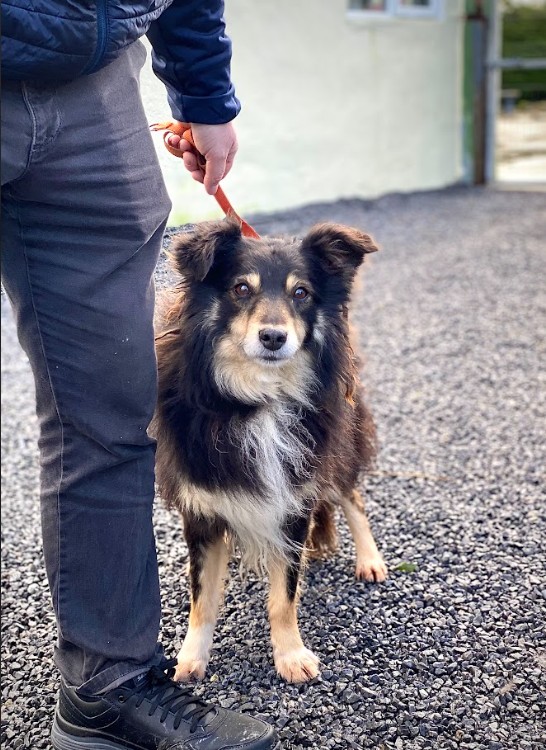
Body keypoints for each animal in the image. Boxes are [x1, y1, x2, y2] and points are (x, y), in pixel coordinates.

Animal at [153, 219, 387, 684]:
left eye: (302, 293)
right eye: (241, 288)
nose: (274, 337)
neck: (258, 399)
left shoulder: (293, 501)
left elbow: (284, 595)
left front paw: (291, 655)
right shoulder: (202, 509)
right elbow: (202, 598)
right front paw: (191, 659)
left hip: (337, 451)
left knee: (352, 497)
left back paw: (370, 559)